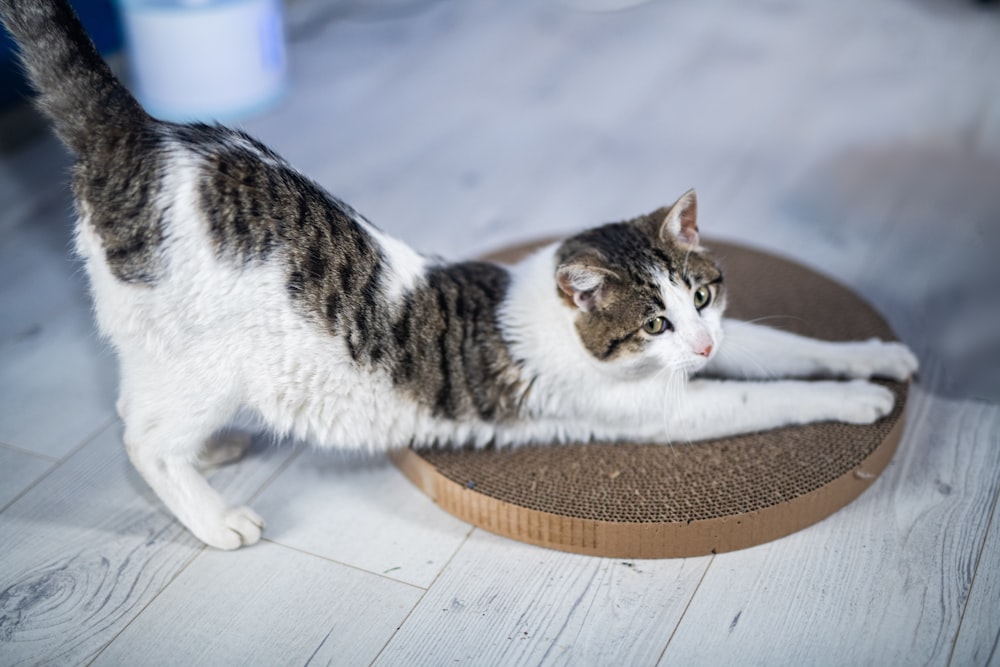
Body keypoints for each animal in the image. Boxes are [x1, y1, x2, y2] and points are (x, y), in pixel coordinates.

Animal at [1, 0, 920, 552]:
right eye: (652, 322)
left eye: (699, 296)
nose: (696, 344)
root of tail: (145, 133)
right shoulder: (663, 408)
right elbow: (770, 394)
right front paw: (858, 401)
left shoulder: (720, 341)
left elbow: (782, 346)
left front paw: (880, 356)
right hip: (219, 357)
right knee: (143, 438)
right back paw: (217, 516)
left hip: (166, 348)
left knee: (134, 405)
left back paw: (217, 448)